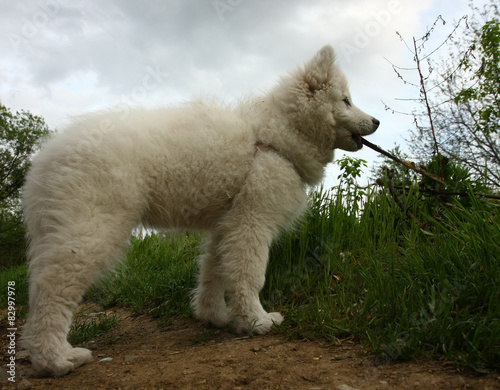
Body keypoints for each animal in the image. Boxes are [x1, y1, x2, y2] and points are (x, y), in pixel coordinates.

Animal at [20, 44, 378, 376]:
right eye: (346, 100)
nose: (376, 120)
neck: (275, 138)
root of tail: (45, 158)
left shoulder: (226, 225)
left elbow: (214, 272)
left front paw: (216, 317)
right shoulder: (252, 221)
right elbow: (249, 274)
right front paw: (258, 321)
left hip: (61, 229)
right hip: (92, 229)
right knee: (52, 291)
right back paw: (56, 359)